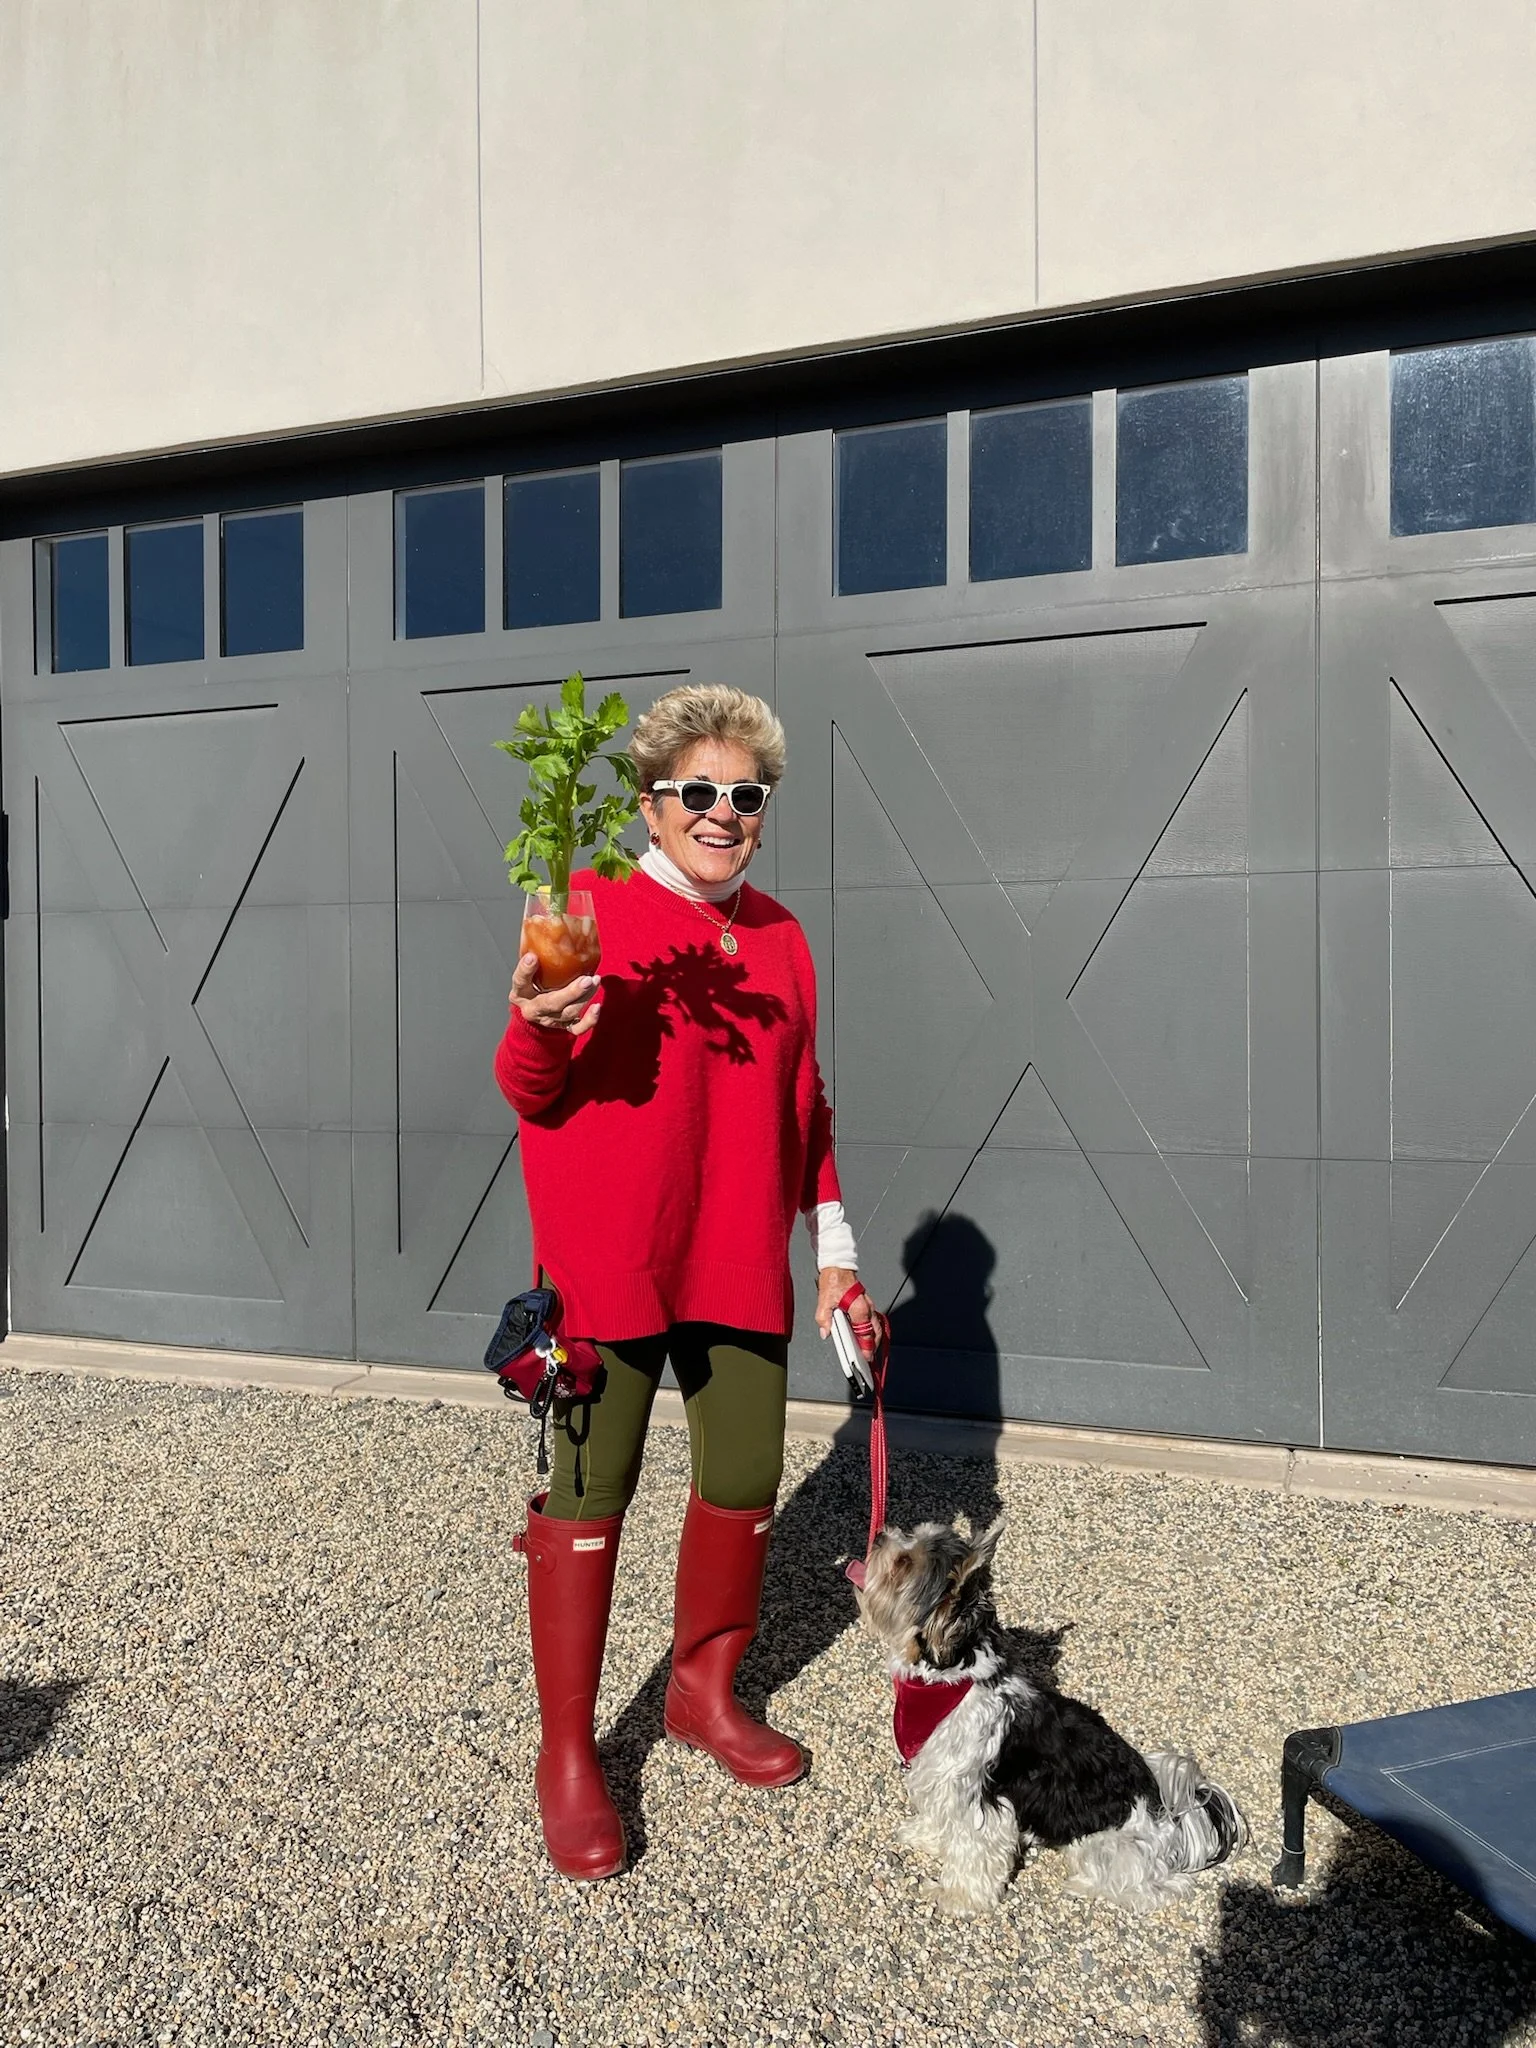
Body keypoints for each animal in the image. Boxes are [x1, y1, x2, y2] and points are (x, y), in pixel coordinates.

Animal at [850, 1517, 1247, 1916]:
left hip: (1108, 1847)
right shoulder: (938, 1778)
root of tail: (1170, 1819)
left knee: (1158, 1889)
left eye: (903, 1563)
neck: (946, 1683)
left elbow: (972, 1852)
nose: (879, 1535)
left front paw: (957, 1897)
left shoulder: (979, 1800)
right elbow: (940, 1817)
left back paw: (1087, 1885)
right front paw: (928, 1836)